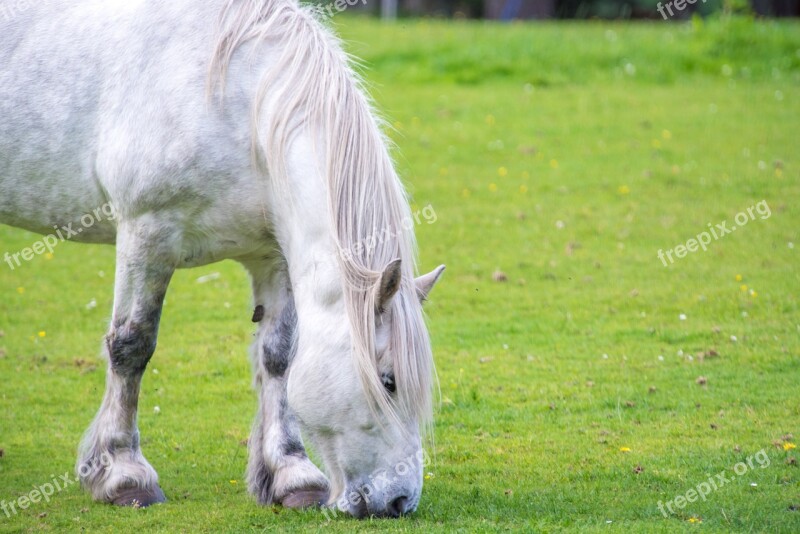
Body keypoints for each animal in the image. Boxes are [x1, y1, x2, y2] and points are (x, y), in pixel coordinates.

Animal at [0, 0, 444, 520]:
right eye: (388, 381)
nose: (399, 500)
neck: (236, 104)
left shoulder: (274, 256)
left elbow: (279, 356)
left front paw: (291, 475)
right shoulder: (147, 234)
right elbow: (131, 347)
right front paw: (123, 473)